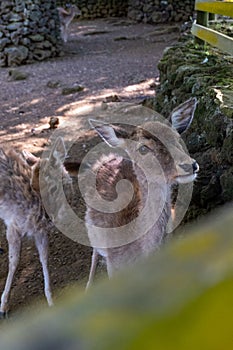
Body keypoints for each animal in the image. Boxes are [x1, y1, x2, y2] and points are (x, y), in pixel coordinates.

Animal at [0, 137, 71, 318]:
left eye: (54, 186)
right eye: (33, 183)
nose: (49, 215)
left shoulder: (40, 231)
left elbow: (44, 257)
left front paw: (51, 299)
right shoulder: (13, 225)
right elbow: (14, 261)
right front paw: (3, 306)